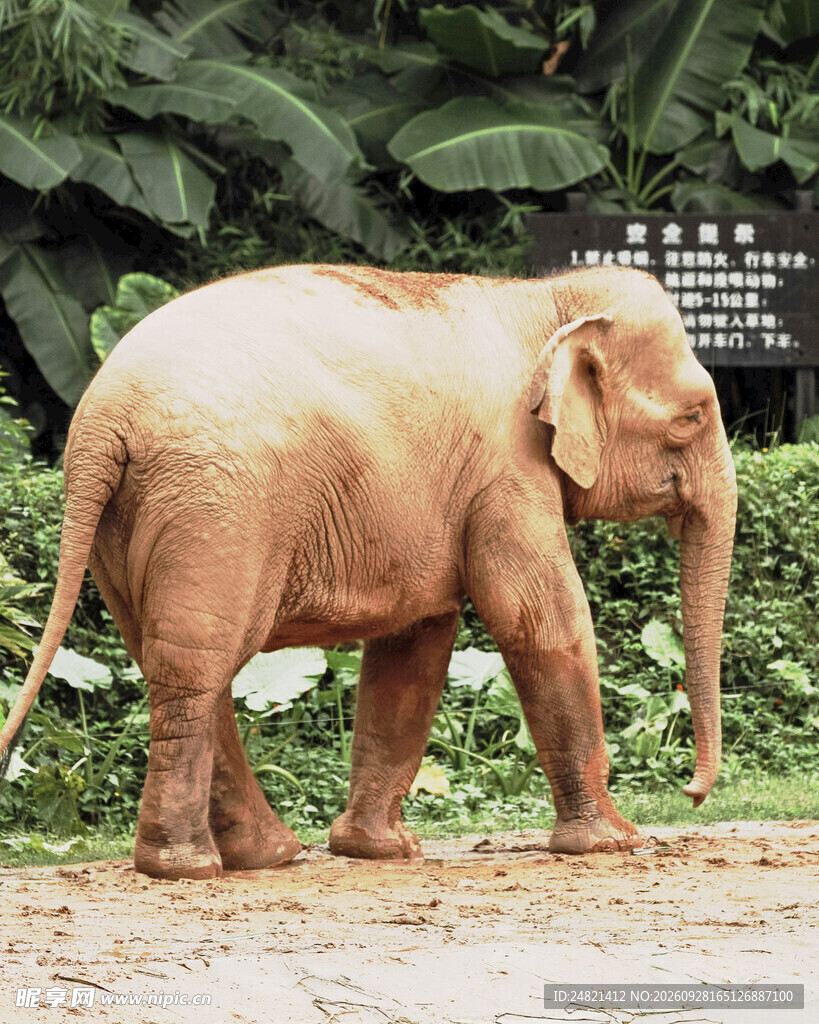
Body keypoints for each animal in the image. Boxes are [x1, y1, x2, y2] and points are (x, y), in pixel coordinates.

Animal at [0, 263, 737, 880]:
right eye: (690, 418)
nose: (692, 792)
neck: (543, 297)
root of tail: (101, 422)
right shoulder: (507, 470)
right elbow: (539, 620)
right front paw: (613, 842)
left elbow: (416, 645)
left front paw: (380, 852)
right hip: (214, 509)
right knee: (197, 667)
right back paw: (188, 868)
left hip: (133, 527)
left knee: (181, 664)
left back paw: (264, 857)